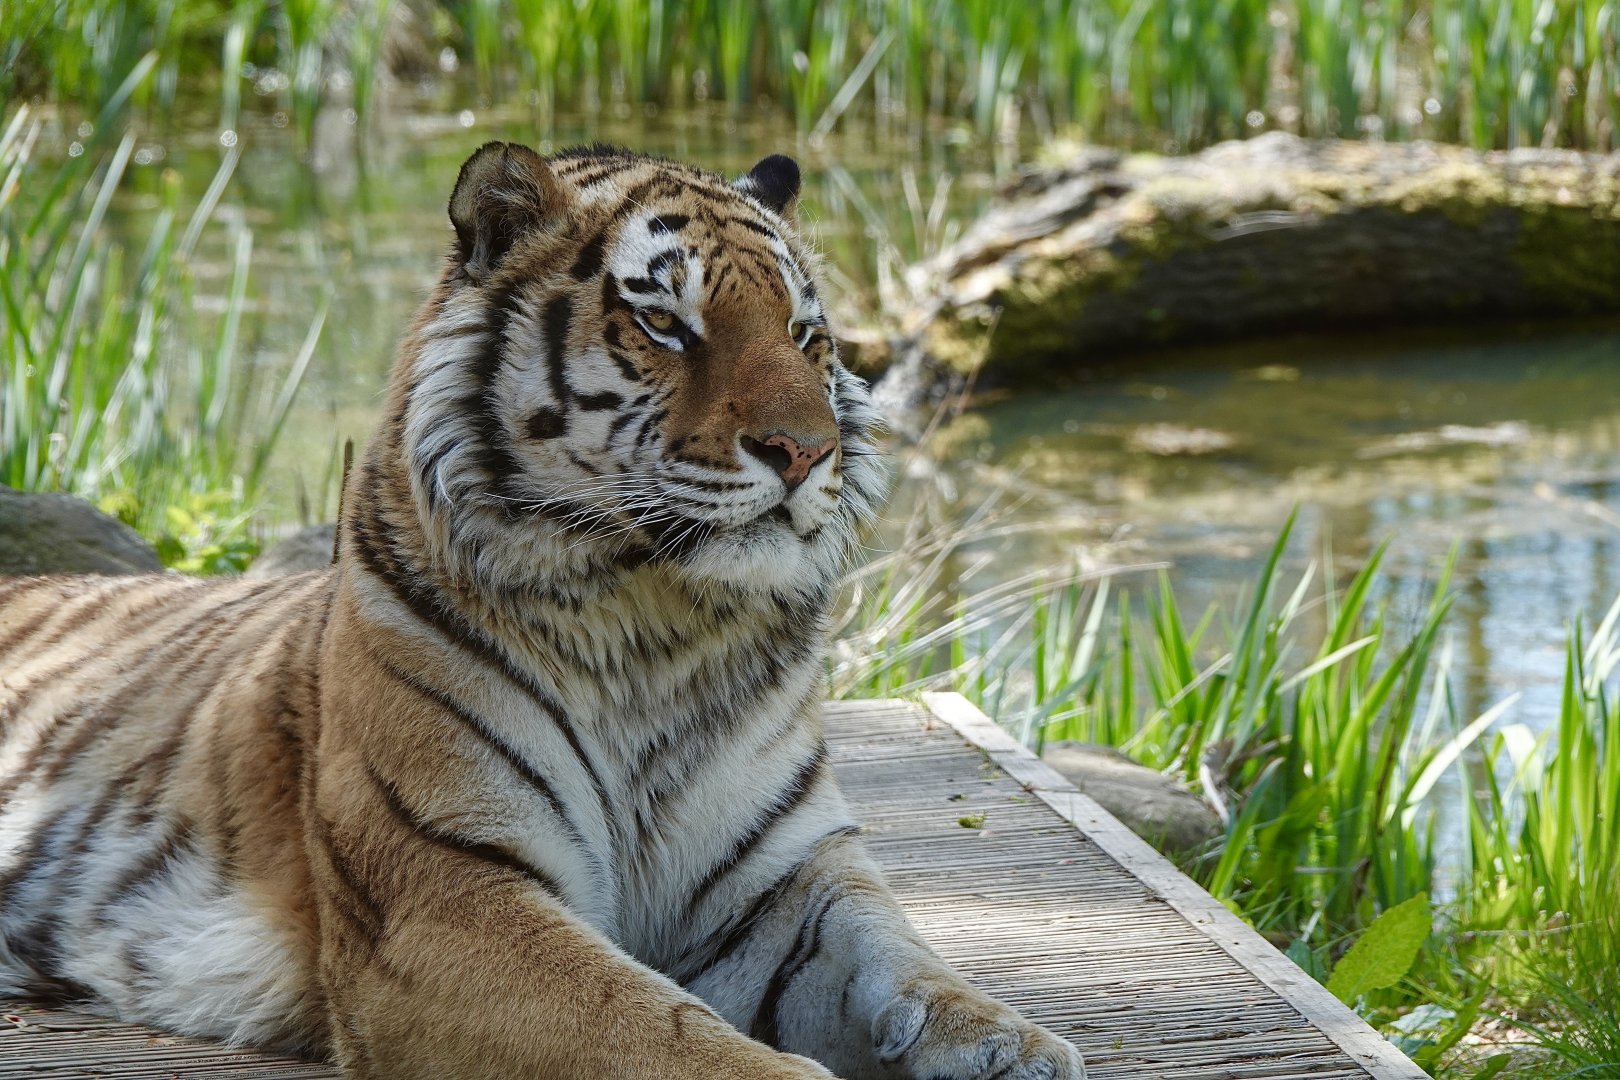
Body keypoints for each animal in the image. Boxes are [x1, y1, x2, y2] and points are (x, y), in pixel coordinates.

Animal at [0, 142, 1086, 1080]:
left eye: (805, 335)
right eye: (667, 326)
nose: (808, 451)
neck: (658, 622)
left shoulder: (788, 883)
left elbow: (904, 966)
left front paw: (1014, 1048)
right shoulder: (446, 893)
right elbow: (655, 1033)